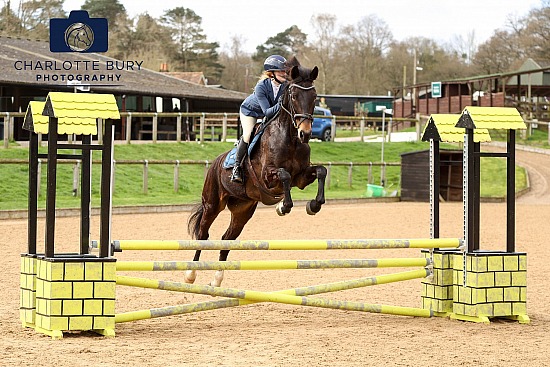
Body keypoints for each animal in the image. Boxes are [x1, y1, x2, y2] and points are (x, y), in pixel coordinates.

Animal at [189, 57, 328, 288]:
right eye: (294, 96)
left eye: (315, 96)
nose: (306, 133)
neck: (290, 138)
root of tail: (215, 163)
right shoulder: (267, 176)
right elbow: (284, 176)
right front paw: (283, 207)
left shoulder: (301, 177)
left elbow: (321, 171)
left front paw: (314, 205)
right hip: (212, 204)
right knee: (203, 233)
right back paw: (190, 274)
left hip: (242, 210)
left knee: (227, 238)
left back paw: (217, 280)